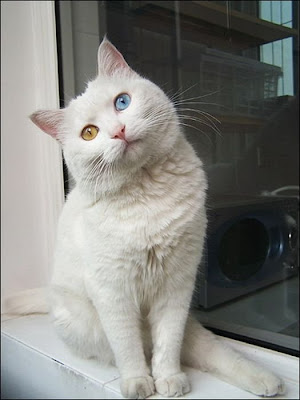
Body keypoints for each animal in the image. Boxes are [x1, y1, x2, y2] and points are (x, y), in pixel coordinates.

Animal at [5, 38, 284, 400]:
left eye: (122, 102)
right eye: (89, 133)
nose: (118, 131)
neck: (148, 191)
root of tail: (51, 296)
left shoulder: (176, 287)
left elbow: (169, 343)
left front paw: (168, 379)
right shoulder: (113, 292)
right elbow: (127, 346)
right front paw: (139, 383)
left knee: (201, 349)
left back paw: (268, 381)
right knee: (137, 346)